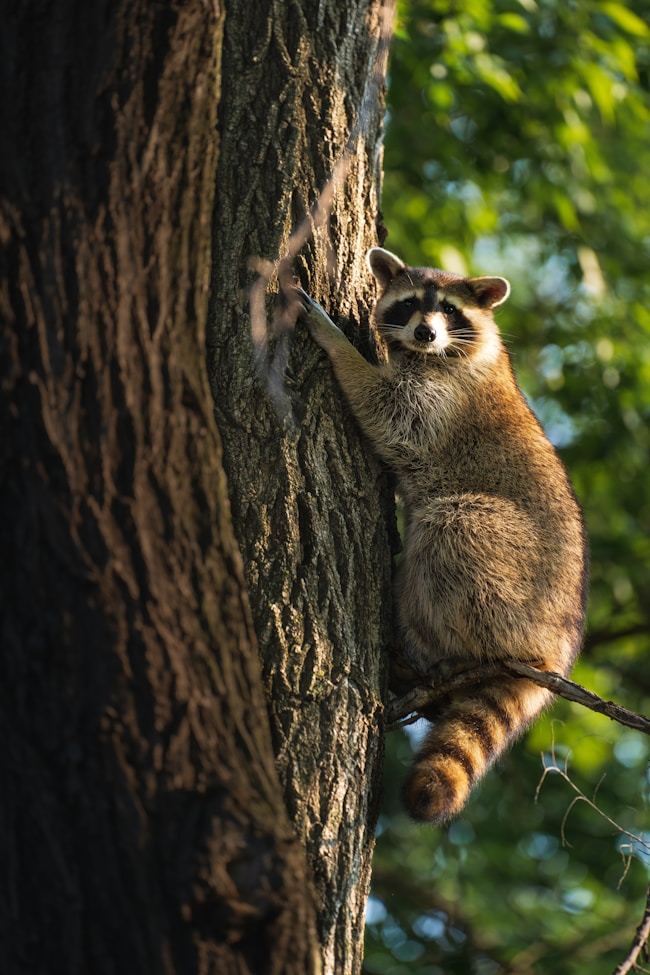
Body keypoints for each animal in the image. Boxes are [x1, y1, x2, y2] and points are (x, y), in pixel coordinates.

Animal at [298, 250, 588, 824]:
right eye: (411, 304)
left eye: (450, 311)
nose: (426, 333)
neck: (429, 354)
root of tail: (556, 645)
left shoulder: (445, 396)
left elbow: (390, 412)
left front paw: (336, 343)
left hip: (513, 570)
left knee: (448, 530)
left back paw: (427, 649)